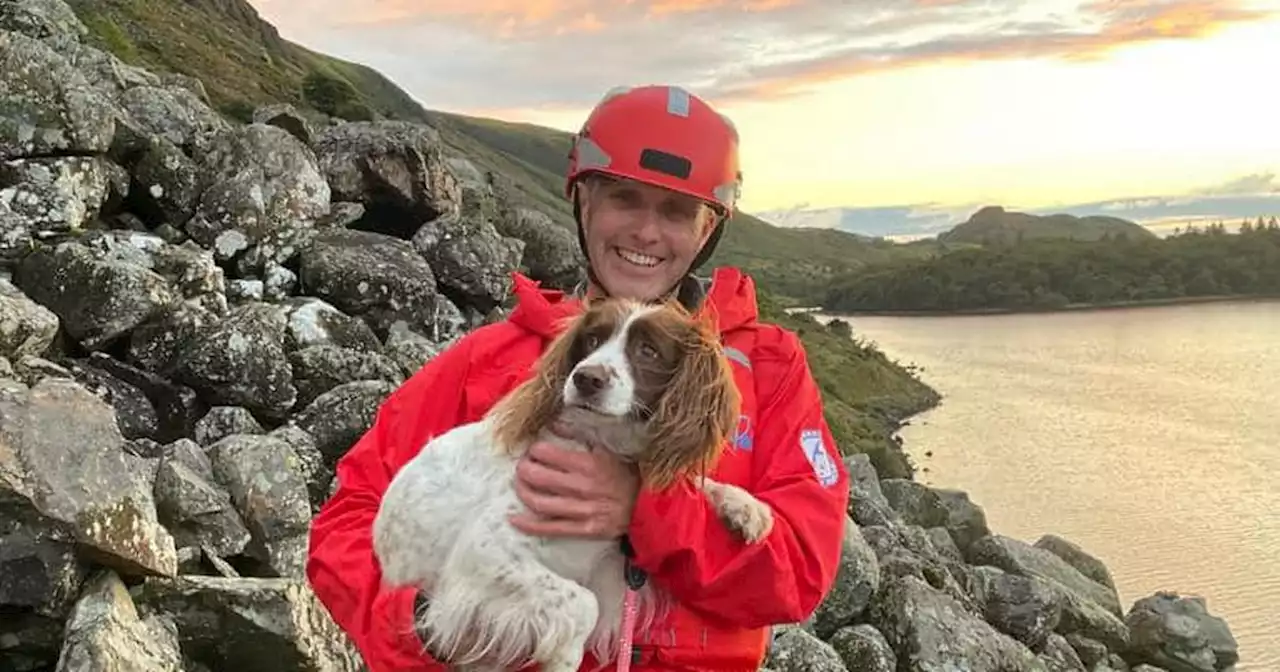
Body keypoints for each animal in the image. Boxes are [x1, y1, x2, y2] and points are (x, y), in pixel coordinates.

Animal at [371, 295, 768, 670]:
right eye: (592, 338)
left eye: (649, 350)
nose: (586, 378)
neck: (597, 441)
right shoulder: (487, 550)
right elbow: (583, 603)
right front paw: (563, 657)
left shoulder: (612, 572)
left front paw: (745, 507)